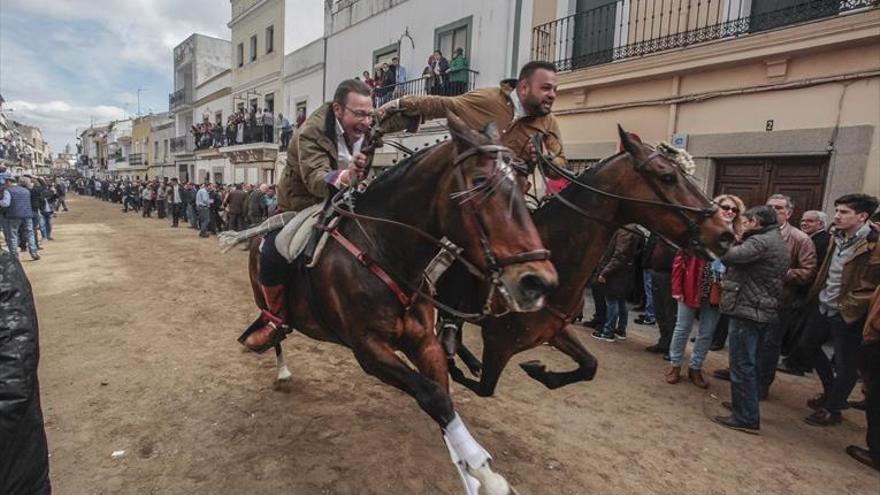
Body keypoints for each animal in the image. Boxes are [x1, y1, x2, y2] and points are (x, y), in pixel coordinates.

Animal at [244, 114, 556, 494]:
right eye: (481, 181)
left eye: (523, 183)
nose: (538, 281)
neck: (384, 250)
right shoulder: (368, 349)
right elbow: (433, 396)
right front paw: (486, 474)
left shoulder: (424, 341)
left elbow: (443, 397)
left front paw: (471, 471)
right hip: (267, 296)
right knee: (276, 330)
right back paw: (280, 365)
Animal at [440, 126, 736, 398]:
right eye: (667, 177)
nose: (725, 233)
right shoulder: (498, 341)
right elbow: (483, 388)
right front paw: (454, 369)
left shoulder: (553, 330)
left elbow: (589, 366)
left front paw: (539, 370)